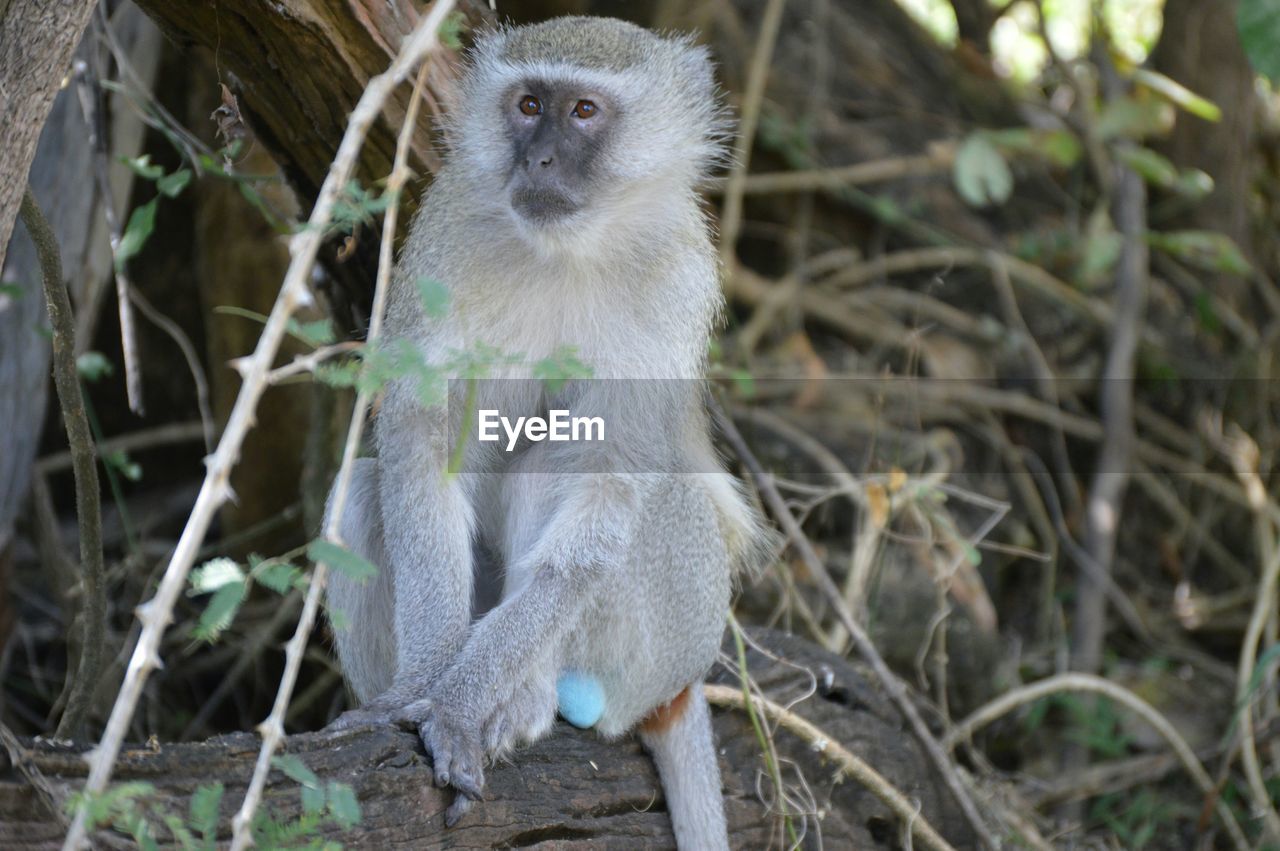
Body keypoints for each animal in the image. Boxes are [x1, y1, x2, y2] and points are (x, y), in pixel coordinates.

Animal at [325, 14, 762, 849]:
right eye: (529, 105)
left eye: (584, 111)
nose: (541, 159)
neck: (570, 252)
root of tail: (684, 681)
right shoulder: (445, 239)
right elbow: (424, 446)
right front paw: (421, 684)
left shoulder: (678, 277)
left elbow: (611, 484)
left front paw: (459, 703)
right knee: (365, 487)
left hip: (671, 626)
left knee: (581, 470)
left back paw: (523, 696)